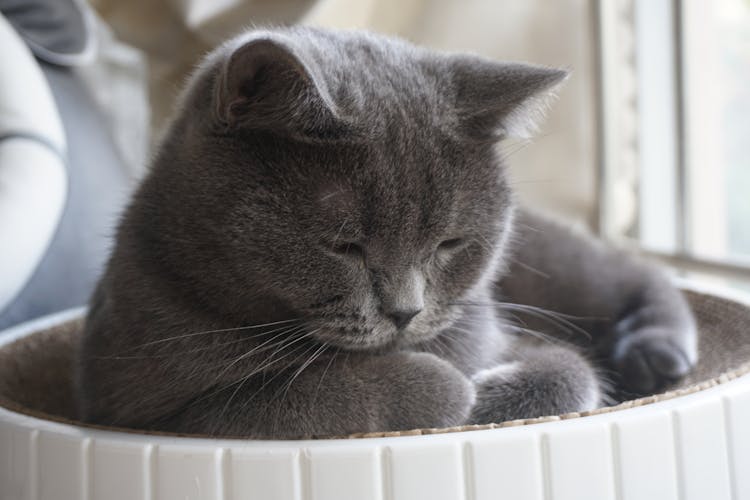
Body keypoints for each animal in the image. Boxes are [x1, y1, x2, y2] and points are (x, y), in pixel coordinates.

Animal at [78, 28, 700, 438]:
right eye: (343, 246)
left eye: (450, 243)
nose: (405, 311)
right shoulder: (152, 413)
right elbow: (311, 393)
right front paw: (459, 388)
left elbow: (569, 370)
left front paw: (487, 391)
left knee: (633, 272)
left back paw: (659, 353)